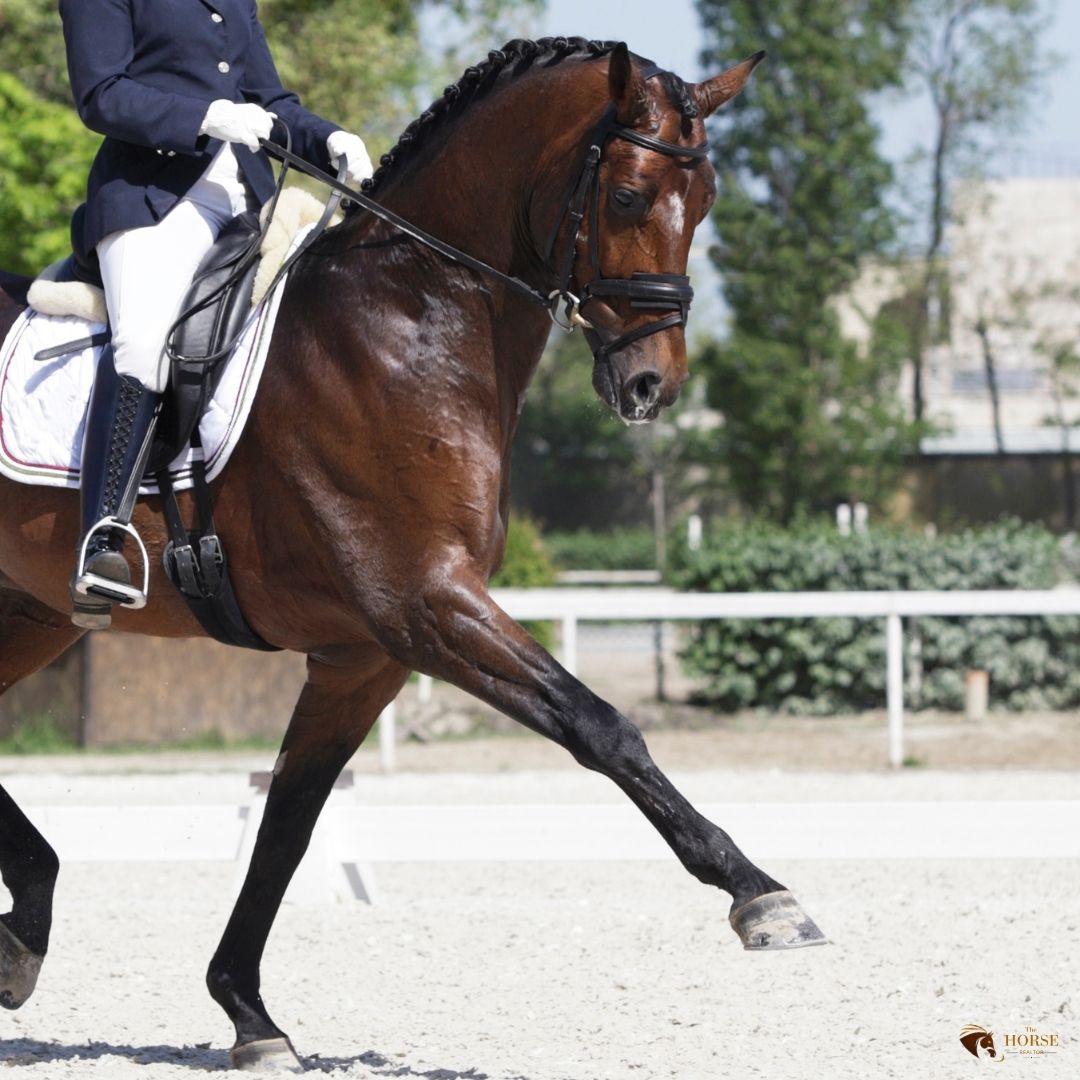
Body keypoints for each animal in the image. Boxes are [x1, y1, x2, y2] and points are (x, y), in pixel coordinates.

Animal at [0, 38, 825, 1070]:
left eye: (706, 198)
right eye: (632, 196)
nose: (651, 385)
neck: (412, 321)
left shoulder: (365, 656)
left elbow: (291, 821)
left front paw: (248, 1013)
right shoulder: (428, 606)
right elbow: (601, 727)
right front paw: (761, 895)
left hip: (28, 613)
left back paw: (25, 926)